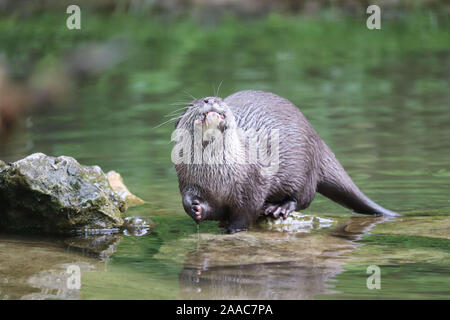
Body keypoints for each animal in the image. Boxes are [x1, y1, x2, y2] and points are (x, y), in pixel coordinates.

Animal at [172, 90, 398, 232]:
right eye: (192, 104)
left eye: (221, 100)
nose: (210, 99)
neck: (217, 176)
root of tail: (317, 141)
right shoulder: (187, 180)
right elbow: (189, 201)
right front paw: (196, 209)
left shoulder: (253, 183)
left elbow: (246, 211)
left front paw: (234, 230)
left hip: (304, 169)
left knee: (303, 198)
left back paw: (279, 208)